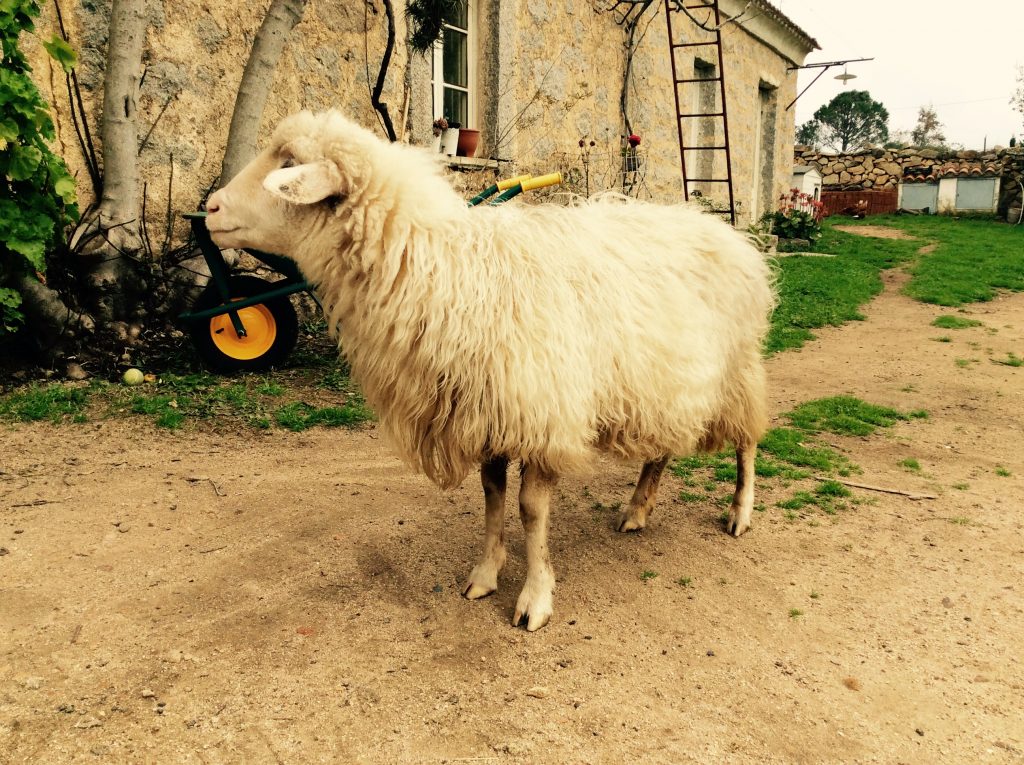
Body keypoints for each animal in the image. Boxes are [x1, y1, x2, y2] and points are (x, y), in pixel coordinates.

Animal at [205, 110, 775, 632]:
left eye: (288, 163)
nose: (209, 208)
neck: (447, 270)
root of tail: (724, 230)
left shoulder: (541, 411)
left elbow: (530, 510)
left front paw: (535, 598)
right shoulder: (486, 410)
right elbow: (492, 498)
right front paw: (484, 575)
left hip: (737, 368)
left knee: (747, 442)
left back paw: (740, 512)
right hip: (667, 380)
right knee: (661, 448)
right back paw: (637, 509)